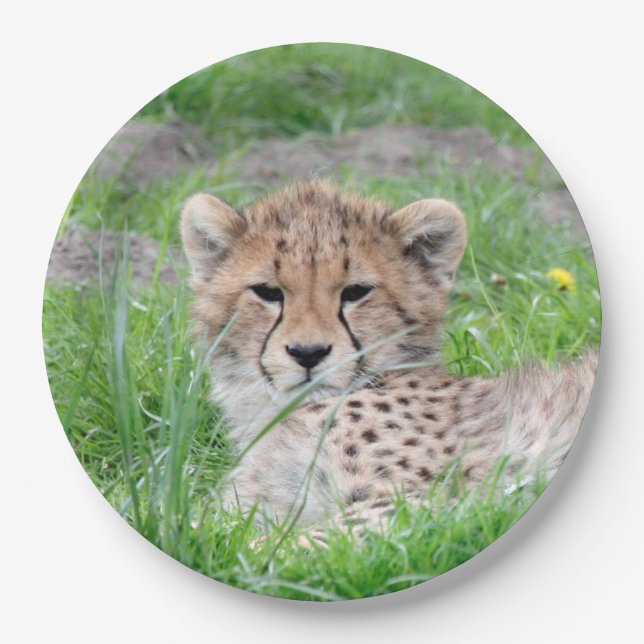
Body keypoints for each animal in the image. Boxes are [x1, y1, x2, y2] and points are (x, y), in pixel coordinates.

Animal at [180, 179, 597, 534]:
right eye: (268, 292)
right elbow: (202, 531)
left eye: (356, 292)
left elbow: (292, 545)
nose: (308, 353)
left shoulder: (428, 503)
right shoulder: (255, 507)